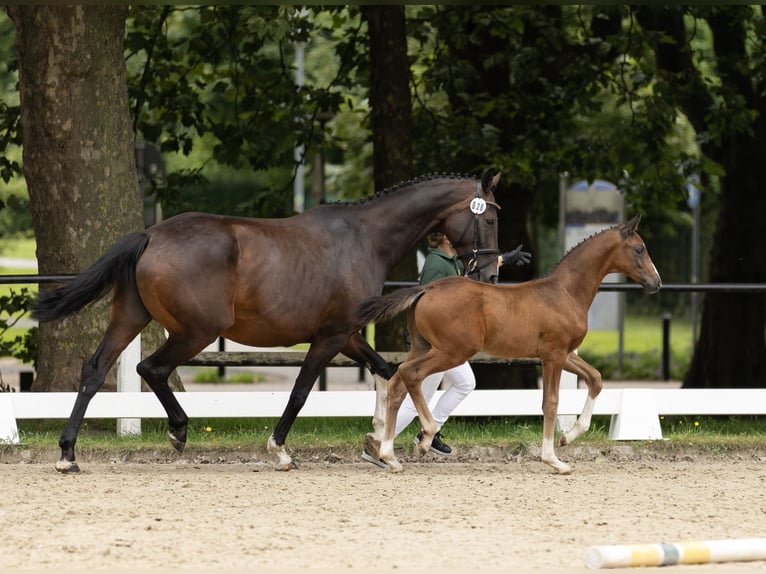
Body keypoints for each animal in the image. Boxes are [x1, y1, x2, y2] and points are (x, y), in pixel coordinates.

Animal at [31, 171, 503, 473]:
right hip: (197, 331)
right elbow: (301, 392)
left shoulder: (347, 333)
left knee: (95, 370)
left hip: (130, 318)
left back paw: (68, 455)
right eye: (491, 218)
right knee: (152, 367)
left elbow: (386, 372)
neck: (364, 238)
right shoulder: (330, 337)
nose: (490, 275)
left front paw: (380, 445)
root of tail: (150, 234)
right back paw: (178, 432)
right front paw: (280, 451)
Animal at [353, 214, 661, 474]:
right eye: (639, 249)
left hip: (424, 348)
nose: (656, 282)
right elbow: (551, 402)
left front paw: (567, 438)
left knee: (397, 383)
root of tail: (426, 288)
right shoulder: (554, 356)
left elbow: (595, 379)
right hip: (451, 352)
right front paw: (554, 460)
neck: (564, 292)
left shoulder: (563, 354)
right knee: (409, 374)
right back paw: (424, 437)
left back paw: (389, 455)